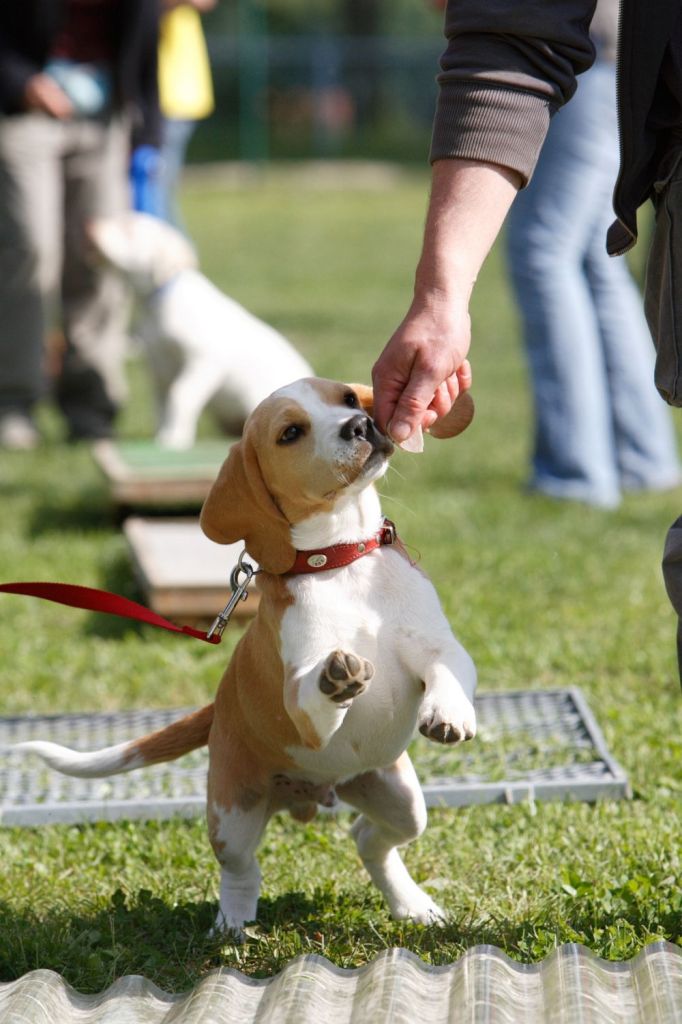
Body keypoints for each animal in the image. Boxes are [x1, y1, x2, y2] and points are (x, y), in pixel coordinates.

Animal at [14, 376, 473, 937]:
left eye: (346, 398)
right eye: (290, 433)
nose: (360, 424)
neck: (342, 564)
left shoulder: (438, 646)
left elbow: (448, 672)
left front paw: (449, 714)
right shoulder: (300, 703)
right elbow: (312, 693)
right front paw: (336, 679)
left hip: (401, 797)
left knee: (370, 839)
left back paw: (412, 905)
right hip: (231, 812)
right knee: (242, 869)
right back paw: (231, 927)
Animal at [87, 211, 313, 448]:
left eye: (128, 227)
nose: (89, 226)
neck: (155, 303)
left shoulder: (204, 361)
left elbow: (180, 394)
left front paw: (175, 439)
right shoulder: (158, 365)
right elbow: (161, 403)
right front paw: (163, 435)